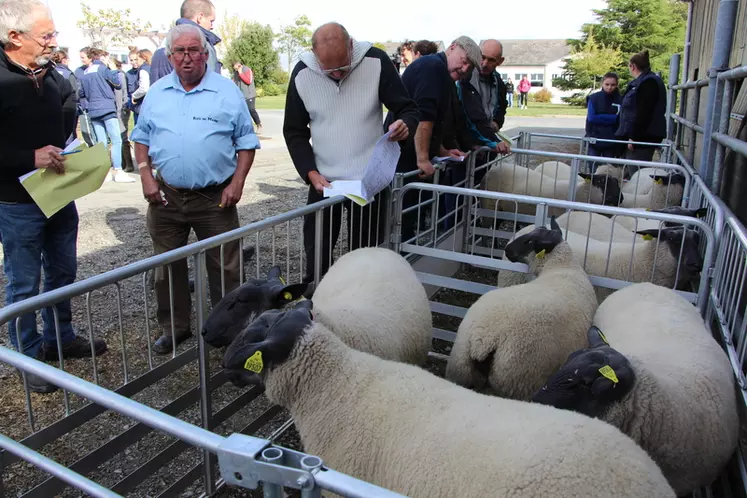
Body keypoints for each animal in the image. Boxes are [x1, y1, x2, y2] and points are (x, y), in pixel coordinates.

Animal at [448, 218, 600, 400]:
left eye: (529, 241)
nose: (507, 249)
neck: (562, 267)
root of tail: (482, 340)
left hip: (463, 369)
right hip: (518, 381)